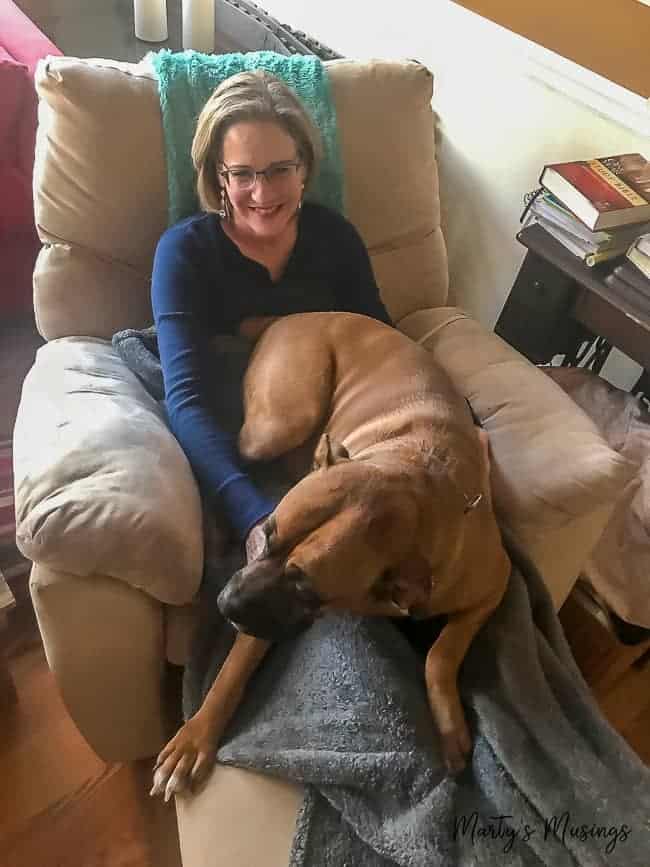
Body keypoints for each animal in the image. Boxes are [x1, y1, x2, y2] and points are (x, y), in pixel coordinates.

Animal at [149, 310, 508, 800]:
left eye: (306, 589)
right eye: (266, 534)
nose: (225, 605)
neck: (413, 481)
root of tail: (292, 314)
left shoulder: (494, 584)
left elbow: (441, 653)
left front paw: (449, 724)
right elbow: (232, 671)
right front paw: (196, 735)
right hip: (279, 422)